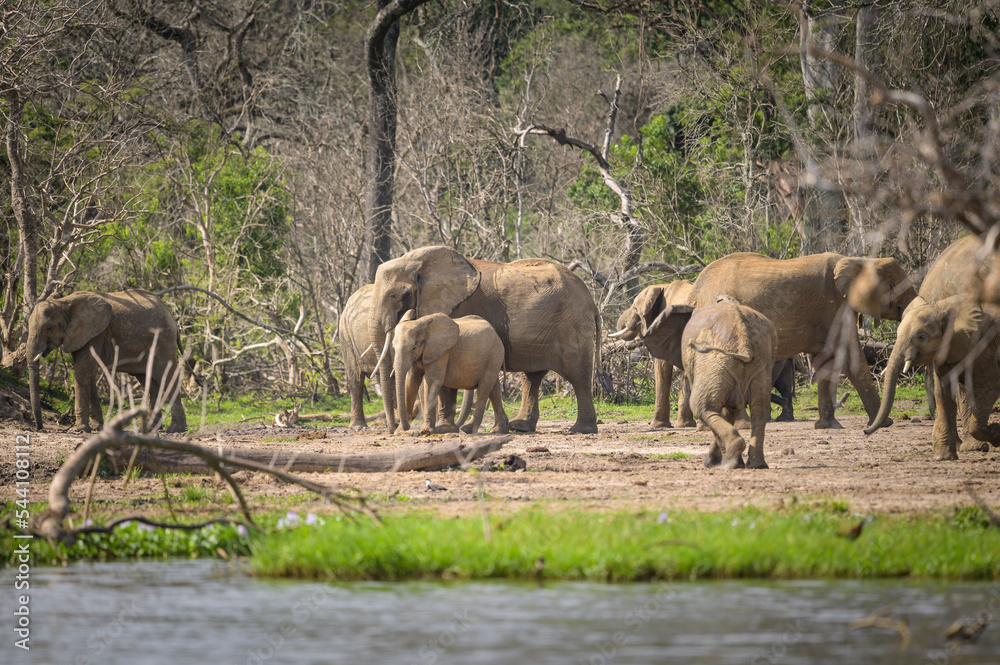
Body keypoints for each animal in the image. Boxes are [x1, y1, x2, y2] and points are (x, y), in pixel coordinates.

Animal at [27, 289, 187, 433]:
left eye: (49, 327)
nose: (40, 428)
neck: (64, 302)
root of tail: (172, 318)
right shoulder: (79, 336)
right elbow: (89, 374)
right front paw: (96, 428)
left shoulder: (95, 334)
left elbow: (82, 372)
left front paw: (78, 430)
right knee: (148, 381)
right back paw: (151, 428)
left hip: (163, 339)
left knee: (167, 375)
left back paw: (175, 430)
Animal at [369, 245, 600, 434]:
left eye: (393, 296)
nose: (394, 429)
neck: (417, 261)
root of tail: (590, 298)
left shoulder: (459, 306)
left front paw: (444, 429)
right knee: (531, 377)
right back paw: (520, 427)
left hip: (572, 324)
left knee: (577, 374)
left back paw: (580, 430)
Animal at [642, 296, 778, 469]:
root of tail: (743, 337)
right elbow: (730, 410)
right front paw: (721, 461)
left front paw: (712, 463)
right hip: (760, 362)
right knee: (759, 410)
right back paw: (756, 465)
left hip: (715, 360)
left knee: (702, 405)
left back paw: (733, 457)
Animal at [689, 252, 916, 429]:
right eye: (893, 286)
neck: (861, 260)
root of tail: (696, 288)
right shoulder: (835, 307)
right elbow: (853, 357)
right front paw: (884, 423)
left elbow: (826, 359)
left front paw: (827, 426)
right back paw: (741, 426)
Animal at [866, 235, 1000, 459]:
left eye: (921, 337)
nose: (865, 431)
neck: (944, 307)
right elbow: (943, 390)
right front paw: (943, 457)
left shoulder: (984, 345)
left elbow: (987, 388)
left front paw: (996, 434)